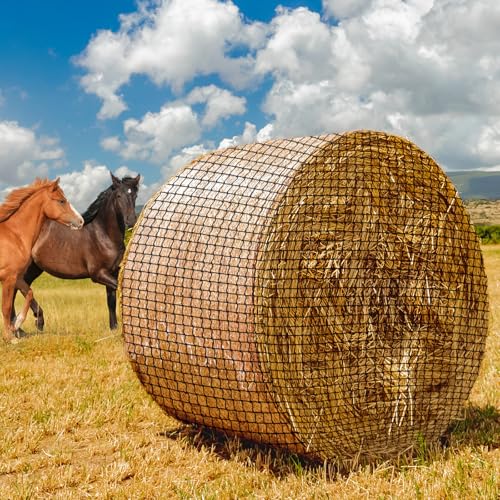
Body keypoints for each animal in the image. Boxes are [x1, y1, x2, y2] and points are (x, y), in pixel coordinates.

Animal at [0, 179, 83, 344]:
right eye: (61, 201)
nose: (81, 221)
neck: (15, 236)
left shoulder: (18, 277)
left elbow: (30, 293)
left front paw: (17, 324)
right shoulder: (8, 278)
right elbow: (6, 307)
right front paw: (11, 338)